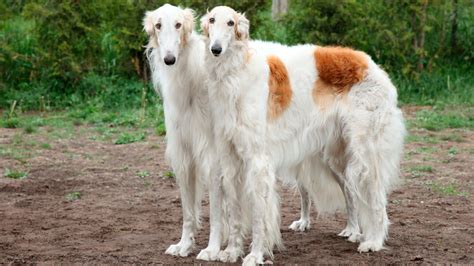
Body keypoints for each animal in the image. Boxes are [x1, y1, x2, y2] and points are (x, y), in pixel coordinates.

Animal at [202, 6, 406, 264]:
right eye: (211, 20)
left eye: (230, 23)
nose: (216, 49)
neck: (236, 73)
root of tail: (371, 64)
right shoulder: (230, 159)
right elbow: (235, 211)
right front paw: (231, 251)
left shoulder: (258, 161)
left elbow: (259, 214)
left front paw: (255, 255)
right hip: (336, 156)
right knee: (350, 191)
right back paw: (352, 230)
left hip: (365, 152)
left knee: (377, 198)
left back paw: (374, 241)